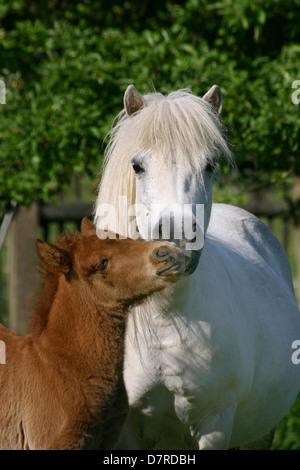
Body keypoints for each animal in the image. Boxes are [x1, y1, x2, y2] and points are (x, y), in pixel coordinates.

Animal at [95, 85, 300, 452]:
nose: (176, 241)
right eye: (137, 166)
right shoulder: (128, 430)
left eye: (210, 165)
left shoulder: (214, 425)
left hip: (260, 434)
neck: (164, 321)